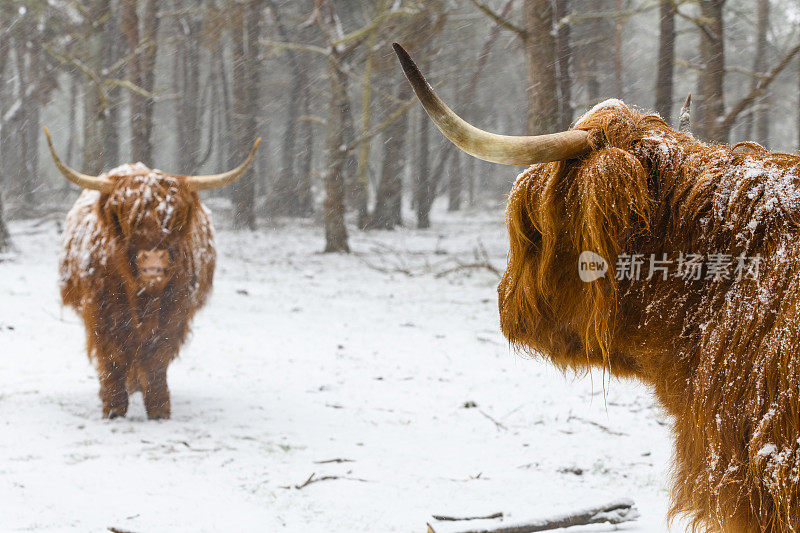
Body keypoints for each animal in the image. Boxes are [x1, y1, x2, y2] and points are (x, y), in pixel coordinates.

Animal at [47, 129, 260, 420]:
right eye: (128, 218)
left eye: (176, 218)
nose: (154, 258)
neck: (142, 295)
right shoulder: (101, 310)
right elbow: (112, 356)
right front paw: (114, 406)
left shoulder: (176, 309)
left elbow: (158, 356)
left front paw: (159, 407)